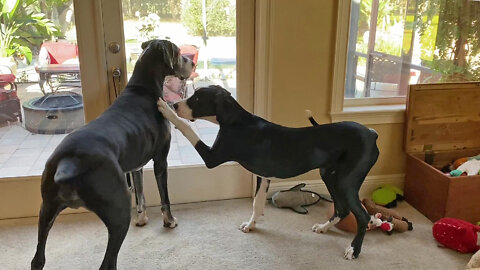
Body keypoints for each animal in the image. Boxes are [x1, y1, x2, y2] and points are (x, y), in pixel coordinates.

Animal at [30, 38, 193, 270]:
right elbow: (164, 196)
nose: (192, 63)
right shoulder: (160, 161)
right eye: (179, 53)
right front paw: (169, 221)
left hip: (46, 211)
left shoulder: (135, 166)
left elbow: (140, 194)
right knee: (108, 263)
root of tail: (67, 164)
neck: (143, 88)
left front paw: (142, 219)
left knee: (38, 259)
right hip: (118, 212)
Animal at [158, 86, 378, 260]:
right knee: (342, 209)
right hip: (330, 176)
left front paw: (165, 110)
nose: (174, 105)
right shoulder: (263, 176)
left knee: (363, 216)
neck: (236, 120)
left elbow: (186, 128)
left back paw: (354, 250)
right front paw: (251, 225)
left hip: (345, 182)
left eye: (197, 98)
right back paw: (324, 228)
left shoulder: (212, 158)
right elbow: (257, 203)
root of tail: (371, 133)